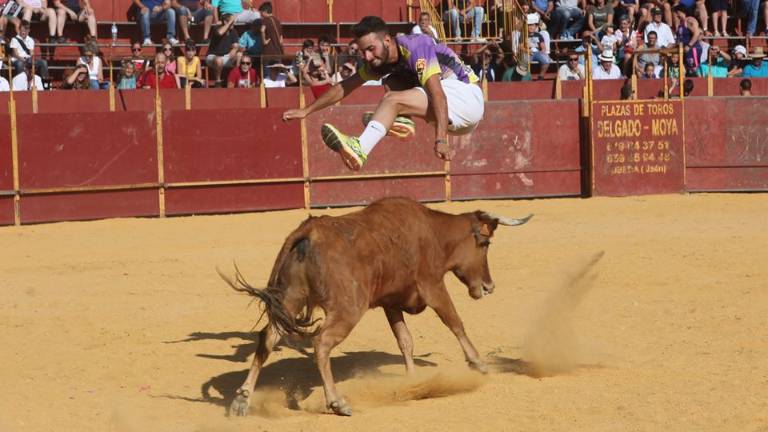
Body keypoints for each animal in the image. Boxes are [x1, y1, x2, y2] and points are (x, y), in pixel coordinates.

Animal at [219, 197, 532, 416]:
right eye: (486, 244)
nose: (489, 286)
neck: (433, 232)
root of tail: (310, 231)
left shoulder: (391, 303)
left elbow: (405, 340)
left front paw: (411, 380)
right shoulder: (433, 286)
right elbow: (455, 322)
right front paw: (478, 363)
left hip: (290, 299)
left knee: (268, 337)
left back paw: (242, 399)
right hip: (347, 309)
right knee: (321, 342)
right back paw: (337, 402)